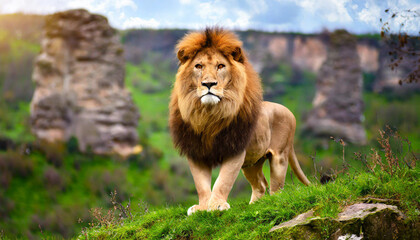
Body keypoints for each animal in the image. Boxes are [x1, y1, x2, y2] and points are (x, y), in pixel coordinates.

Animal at [169, 27, 310, 215]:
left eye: (220, 66)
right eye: (198, 66)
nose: (208, 84)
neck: (208, 115)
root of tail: (288, 111)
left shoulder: (235, 149)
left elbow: (224, 180)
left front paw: (217, 205)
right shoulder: (196, 152)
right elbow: (201, 184)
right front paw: (202, 207)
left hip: (279, 156)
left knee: (277, 187)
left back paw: (273, 203)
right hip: (252, 163)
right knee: (261, 185)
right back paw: (254, 205)